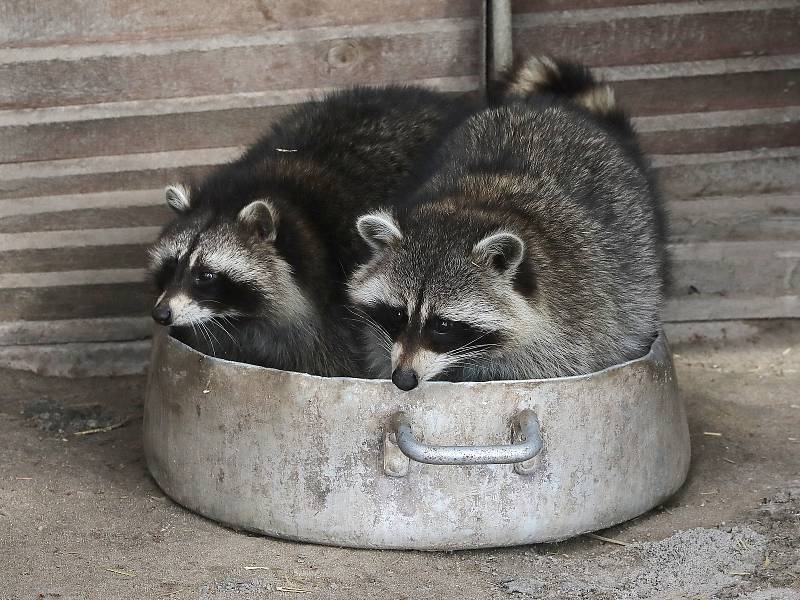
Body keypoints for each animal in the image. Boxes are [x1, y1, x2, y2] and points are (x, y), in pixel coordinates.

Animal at [350, 58, 668, 392]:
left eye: (443, 325)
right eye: (397, 313)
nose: (403, 379)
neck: (471, 206)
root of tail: (545, 108)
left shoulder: (570, 329)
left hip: (635, 263)